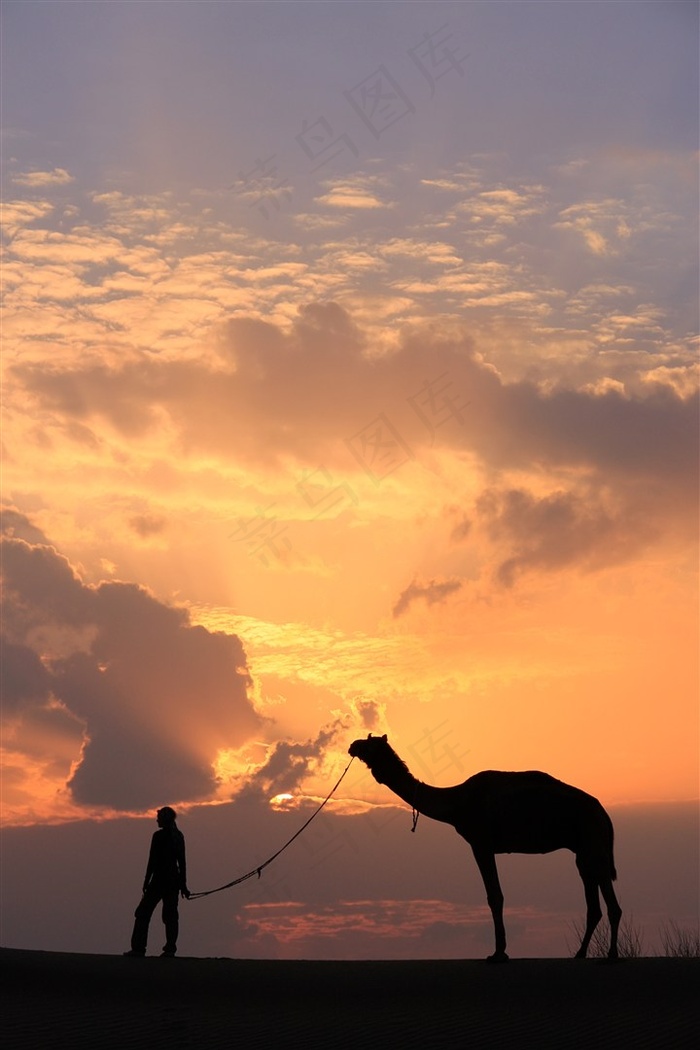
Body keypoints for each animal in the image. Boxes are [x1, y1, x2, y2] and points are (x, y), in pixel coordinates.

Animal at [348, 734, 621, 961]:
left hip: (591, 841)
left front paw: (499, 953)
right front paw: (500, 950)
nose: (352, 745)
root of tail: (604, 814)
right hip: (585, 850)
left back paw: (611, 954)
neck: (456, 803)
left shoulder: (481, 843)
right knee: (594, 904)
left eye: (369, 744)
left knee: (609, 904)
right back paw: (582, 953)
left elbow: (494, 896)